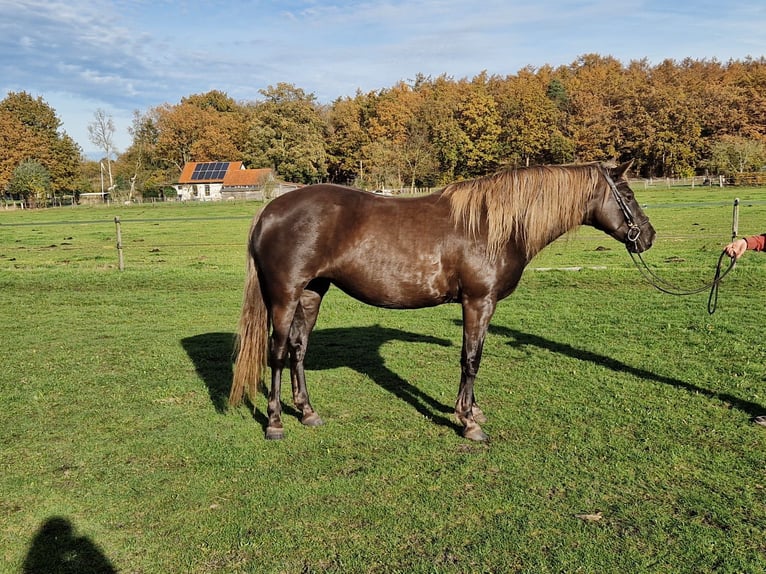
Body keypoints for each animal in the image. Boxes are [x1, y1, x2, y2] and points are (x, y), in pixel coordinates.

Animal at [229, 161, 655, 441]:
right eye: (627, 194)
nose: (648, 236)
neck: (491, 226)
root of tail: (270, 210)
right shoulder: (478, 302)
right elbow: (471, 359)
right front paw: (468, 422)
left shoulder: (481, 305)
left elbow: (474, 356)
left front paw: (474, 410)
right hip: (284, 297)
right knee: (277, 352)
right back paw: (275, 423)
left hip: (312, 293)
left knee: (299, 349)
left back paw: (308, 413)